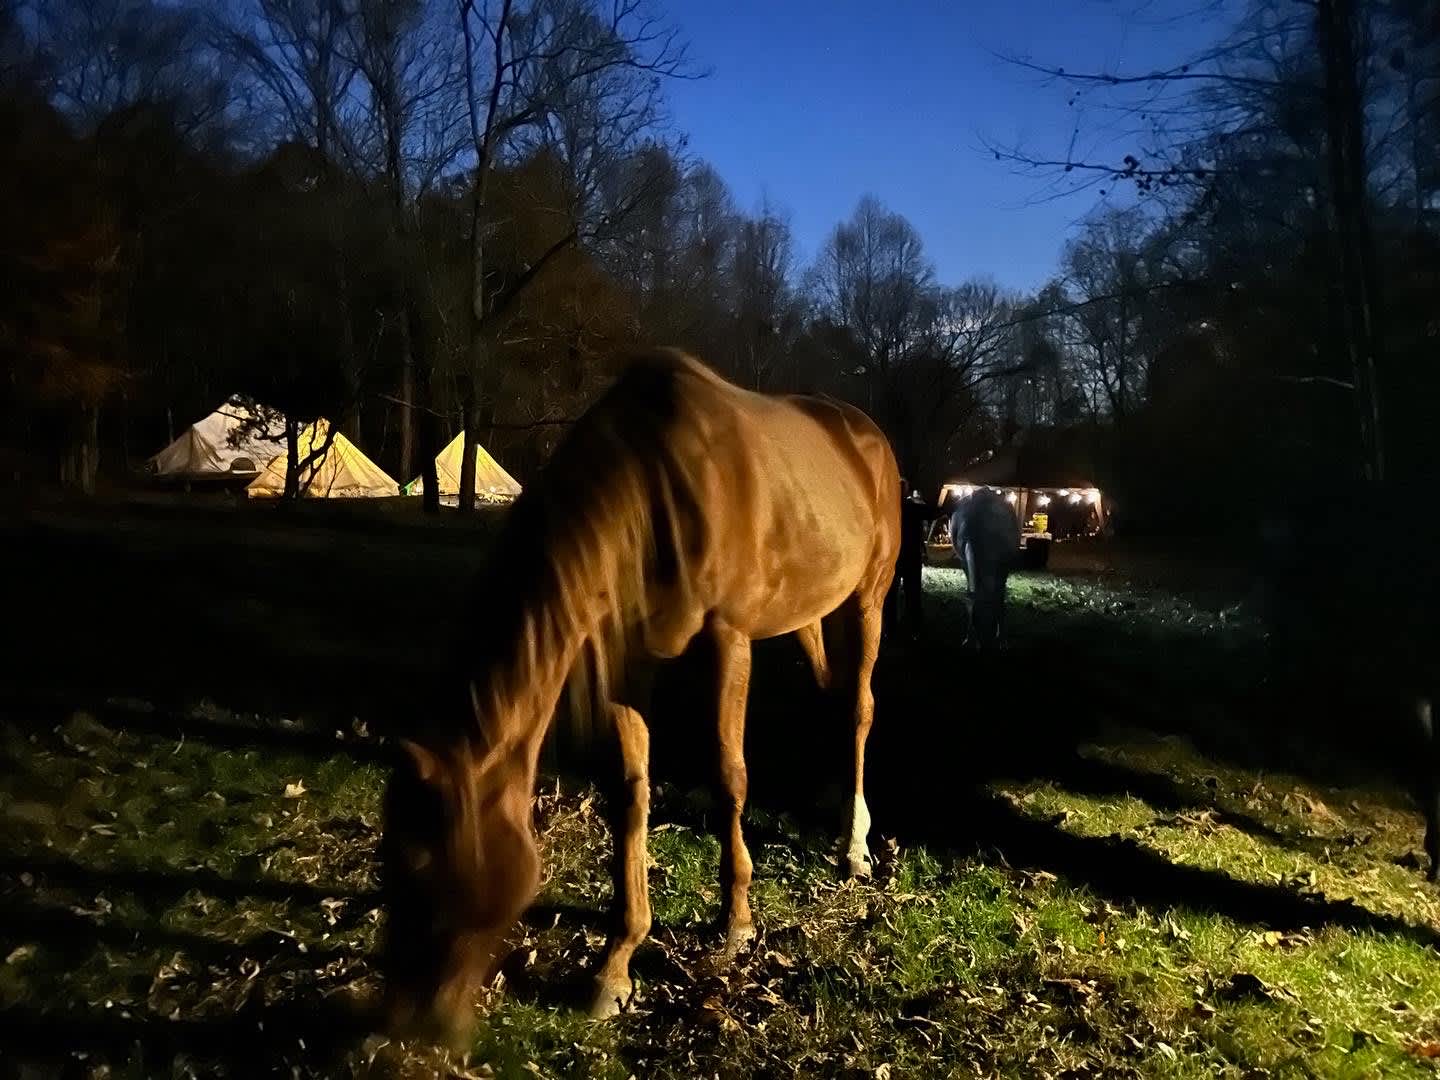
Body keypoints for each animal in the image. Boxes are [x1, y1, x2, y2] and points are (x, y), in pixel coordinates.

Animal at [380, 349, 901, 1042]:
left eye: (420, 865)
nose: (404, 1020)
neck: (658, 486)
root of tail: (865, 433)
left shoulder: (727, 639)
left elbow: (729, 776)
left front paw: (736, 920)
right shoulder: (630, 662)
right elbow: (630, 794)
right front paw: (616, 963)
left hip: (867, 600)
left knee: (859, 709)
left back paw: (854, 845)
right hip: (809, 611)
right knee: (831, 697)